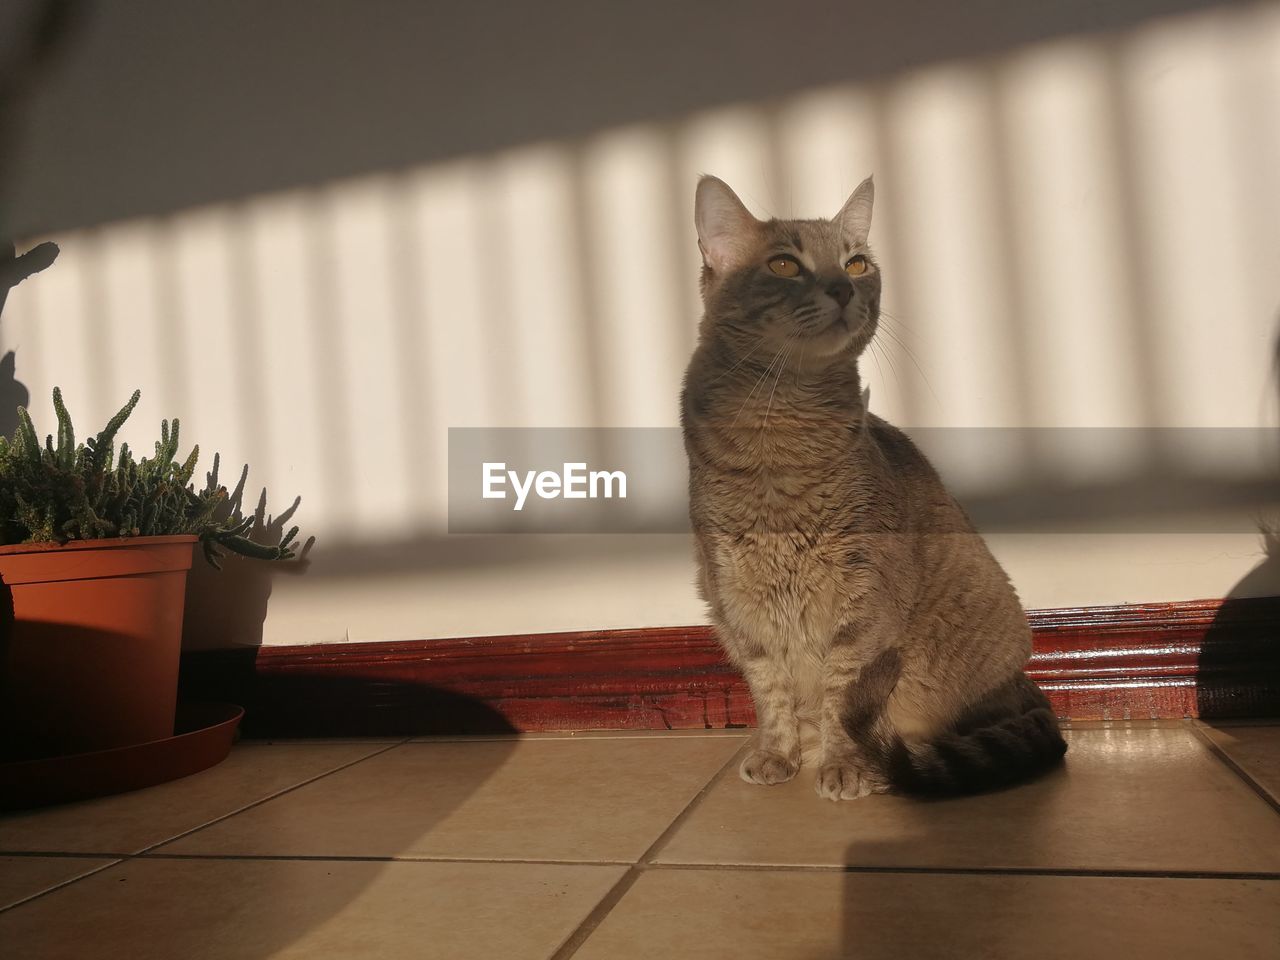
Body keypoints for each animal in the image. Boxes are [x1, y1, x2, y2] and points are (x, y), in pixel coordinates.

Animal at [686, 176, 1064, 798]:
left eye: (856, 263)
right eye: (785, 264)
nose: (842, 288)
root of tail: (1025, 681)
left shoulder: (864, 601)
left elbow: (843, 691)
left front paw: (844, 764)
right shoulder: (735, 600)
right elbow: (771, 688)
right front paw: (778, 752)